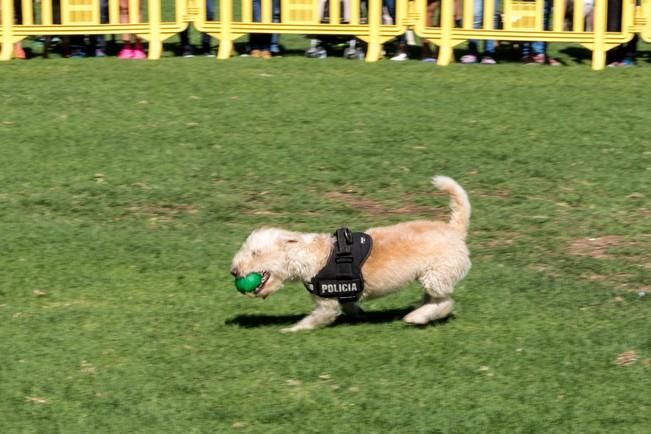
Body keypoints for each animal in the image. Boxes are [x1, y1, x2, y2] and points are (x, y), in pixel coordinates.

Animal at [232, 176, 472, 332]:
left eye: (255, 253)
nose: (234, 271)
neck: (310, 255)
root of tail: (454, 229)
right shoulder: (343, 297)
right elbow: (351, 306)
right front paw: (361, 315)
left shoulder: (326, 305)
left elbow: (313, 320)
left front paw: (290, 330)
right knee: (436, 299)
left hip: (436, 275)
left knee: (445, 303)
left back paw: (417, 317)